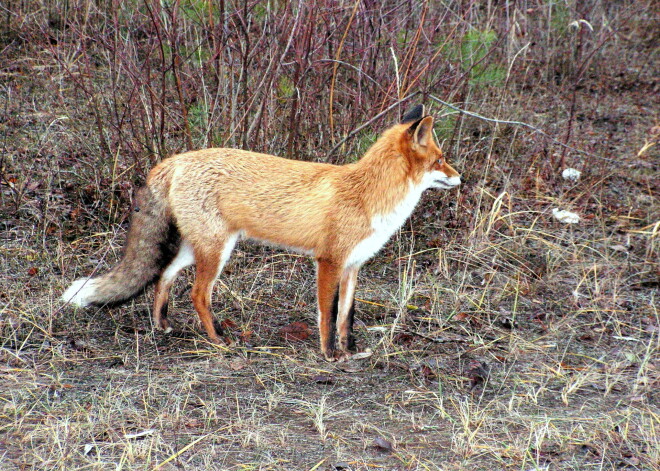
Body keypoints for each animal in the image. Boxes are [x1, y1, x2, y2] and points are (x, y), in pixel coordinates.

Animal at [64, 106, 462, 362]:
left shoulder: (354, 265)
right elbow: (328, 315)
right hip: (217, 251)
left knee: (164, 276)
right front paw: (330, 356)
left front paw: (350, 351)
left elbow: (347, 317)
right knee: (197, 294)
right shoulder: (329, 262)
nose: (460, 177)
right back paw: (218, 339)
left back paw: (162, 324)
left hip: (199, 247)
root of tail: (175, 160)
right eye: (441, 160)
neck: (366, 194)